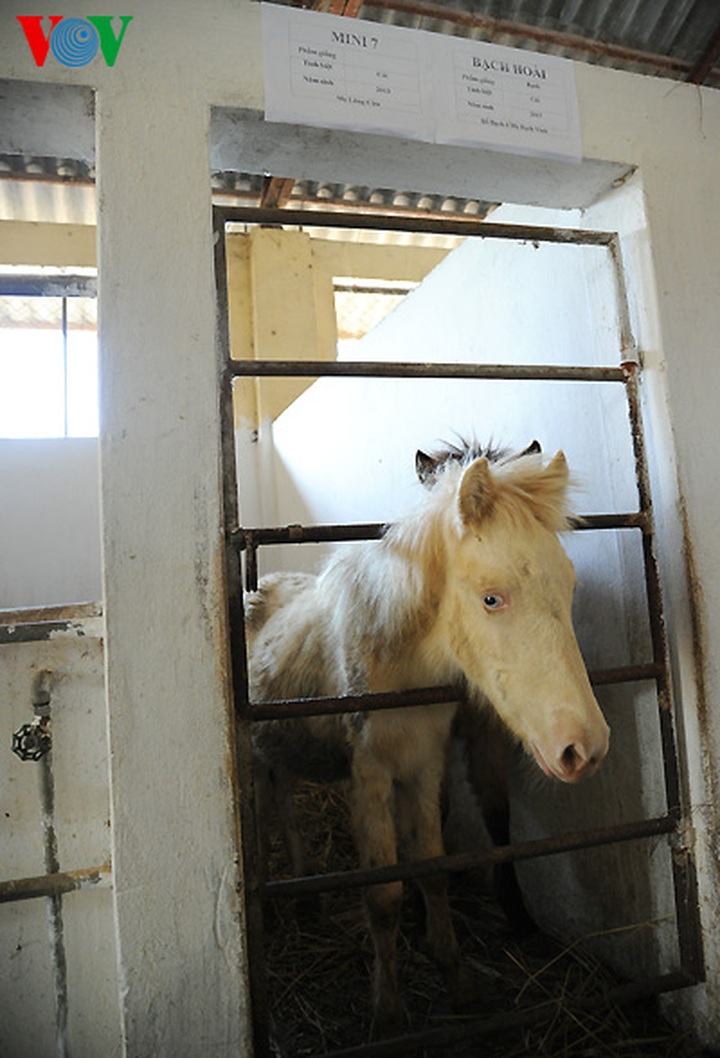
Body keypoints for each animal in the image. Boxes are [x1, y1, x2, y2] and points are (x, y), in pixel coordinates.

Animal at [245, 444, 610, 1038]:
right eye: (491, 598)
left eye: (570, 585)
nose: (583, 747)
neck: (400, 666)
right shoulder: (369, 777)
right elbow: (384, 896)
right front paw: (389, 1014)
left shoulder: (422, 765)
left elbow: (433, 871)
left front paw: (458, 982)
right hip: (255, 760)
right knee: (265, 815)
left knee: (285, 807)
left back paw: (304, 896)